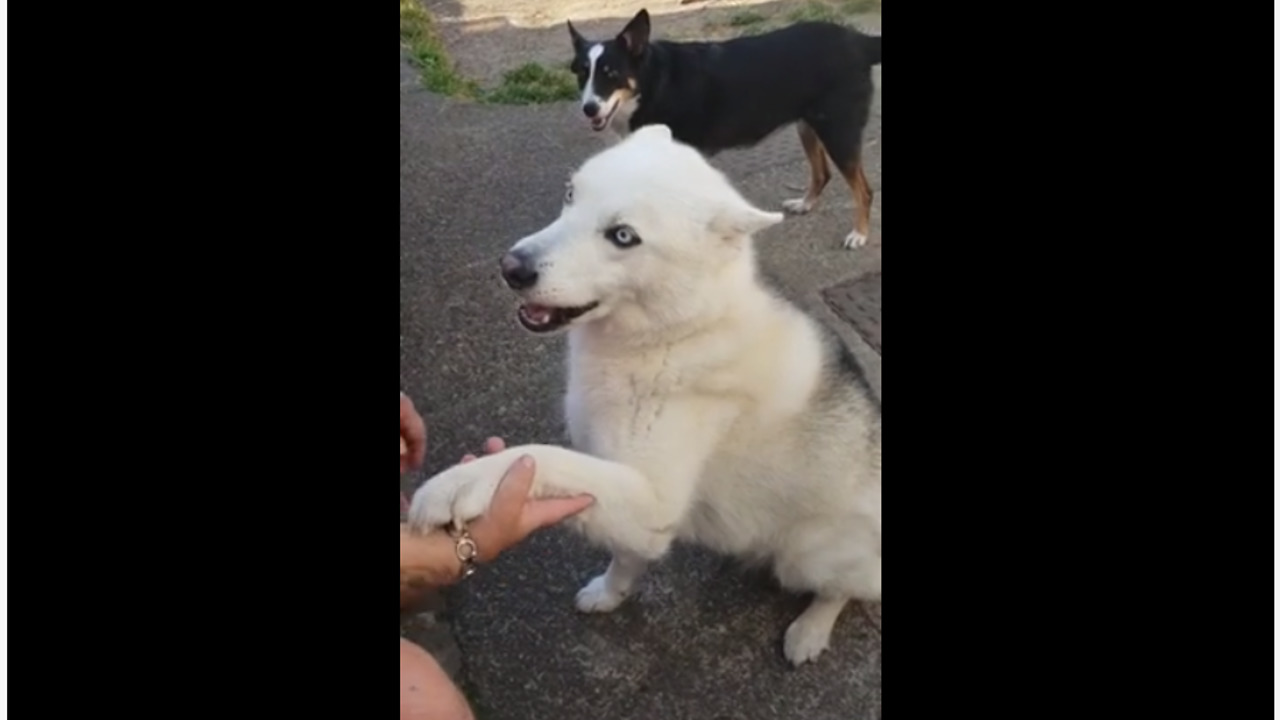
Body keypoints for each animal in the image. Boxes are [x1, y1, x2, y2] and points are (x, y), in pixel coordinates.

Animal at [409, 121, 880, 661]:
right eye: (570, 195)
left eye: (623, 237)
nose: (512, 268)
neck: (673, 335)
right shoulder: (635, 506)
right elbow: (626, 554)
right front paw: (611, 593)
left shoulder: (650, 498)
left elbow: (541, 458)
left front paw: (460, 484)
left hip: (805, 554)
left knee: (844, 588)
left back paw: (811, 629)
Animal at [570, 7, 880, 249]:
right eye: (583, 74)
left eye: (611, 73)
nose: (589, 109)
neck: (654, 83)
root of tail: (859, 40)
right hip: (809, 126)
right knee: (822, 174)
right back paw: (805, 203)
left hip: (838, 132)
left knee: (864, 191)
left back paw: (859, 234)